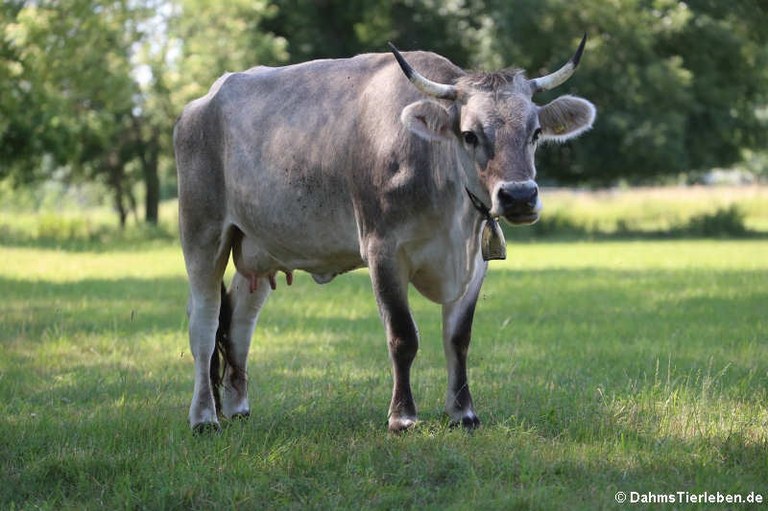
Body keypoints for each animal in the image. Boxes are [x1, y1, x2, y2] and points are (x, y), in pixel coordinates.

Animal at [174, 36, 592, 434]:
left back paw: (237, 407)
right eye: (470, 135)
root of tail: (203, 102)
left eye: (535, 132)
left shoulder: (476, 263)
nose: (519, 196)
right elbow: (403, 336)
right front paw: (402, 417)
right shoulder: (383, 250)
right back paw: (204, 418)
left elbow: (458, 338)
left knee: (239, 322)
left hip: (259, 247)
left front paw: (463, 413)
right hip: (202, 232)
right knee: (205, 323)